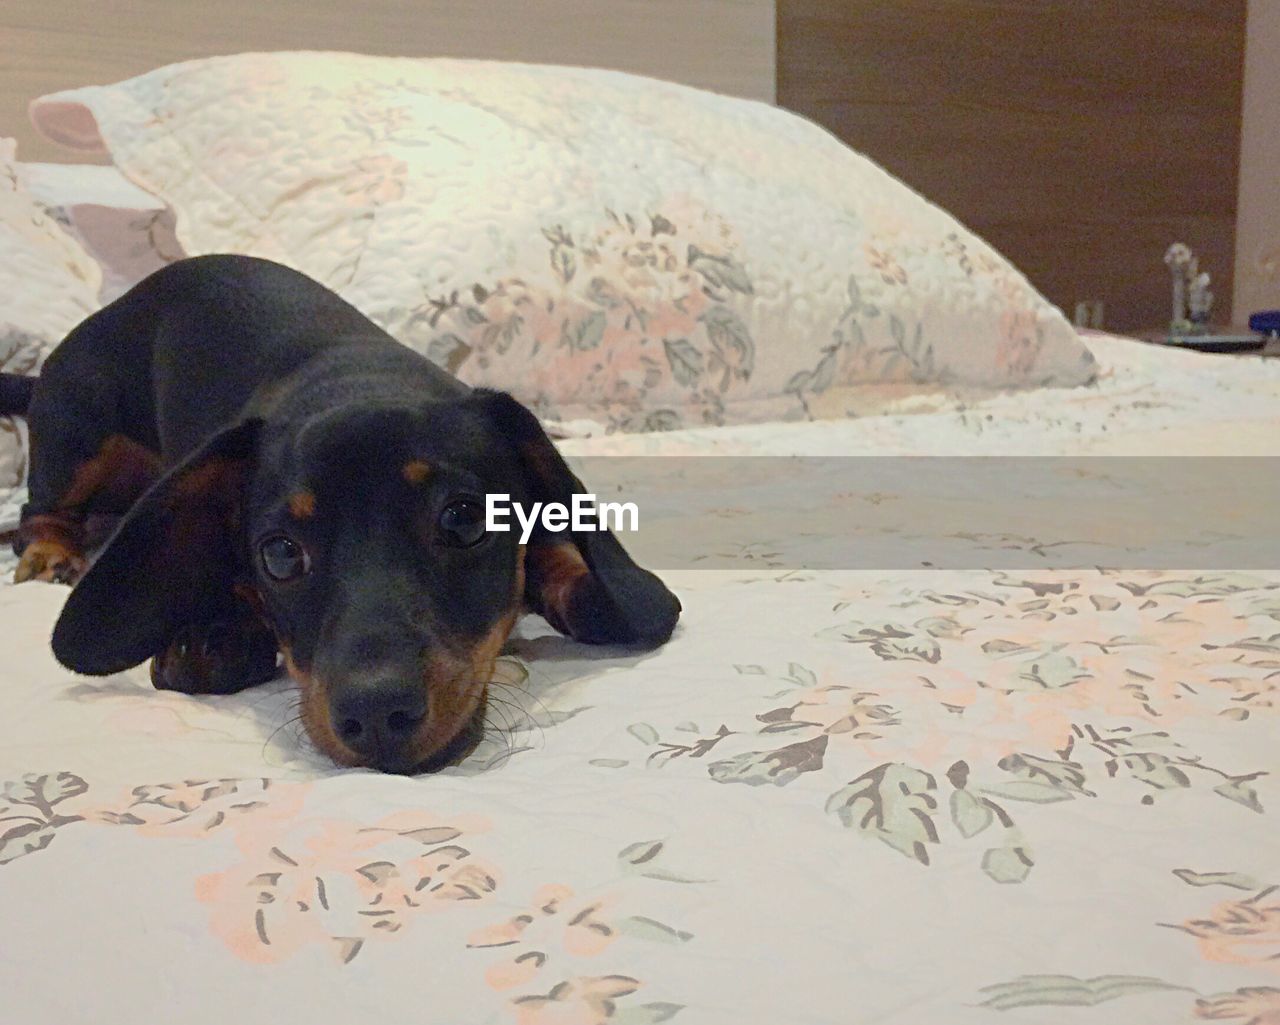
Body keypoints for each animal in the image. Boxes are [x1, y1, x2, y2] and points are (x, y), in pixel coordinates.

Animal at [2, 253, 680, 767]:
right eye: (279, 555)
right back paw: (49, 553)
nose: (376, 715)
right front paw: (216, 626)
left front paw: (580, 586)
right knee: (39, 509)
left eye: (462, 521)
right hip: (79, 428)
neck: (358, 379)